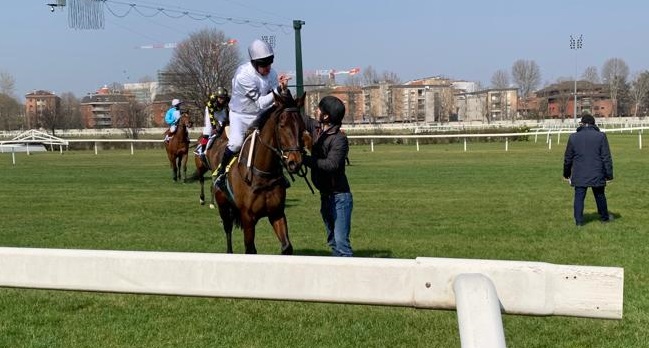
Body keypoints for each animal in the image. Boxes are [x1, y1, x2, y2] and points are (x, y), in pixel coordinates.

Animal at [211, 92, 306, 256]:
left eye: (301, 126)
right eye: (282, 125)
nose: (295, 162)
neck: (262, 175)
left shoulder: (277, 213)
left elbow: (287, 246)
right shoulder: (248, 218)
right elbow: (250, 249)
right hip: (223, 206)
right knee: (228, 230)